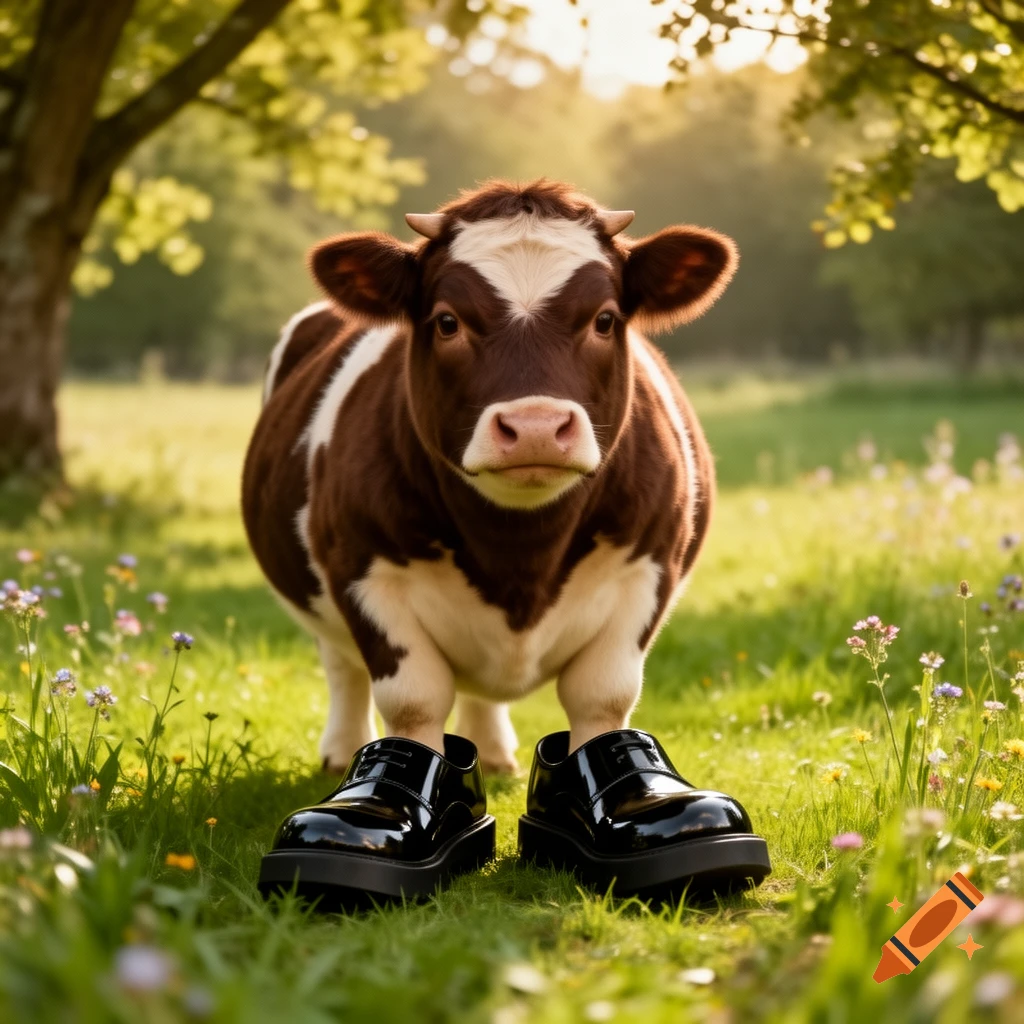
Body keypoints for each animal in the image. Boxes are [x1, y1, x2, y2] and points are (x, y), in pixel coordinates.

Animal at [242, 179, 734, 775]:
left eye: (605, 319)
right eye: (447, 321)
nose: (535, 427)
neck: (519, 556)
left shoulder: (648, 569)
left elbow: (602, 694)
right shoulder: (362, 571)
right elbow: (413, 700)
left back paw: (495, 754)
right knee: (342, 666)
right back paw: (341, 753)